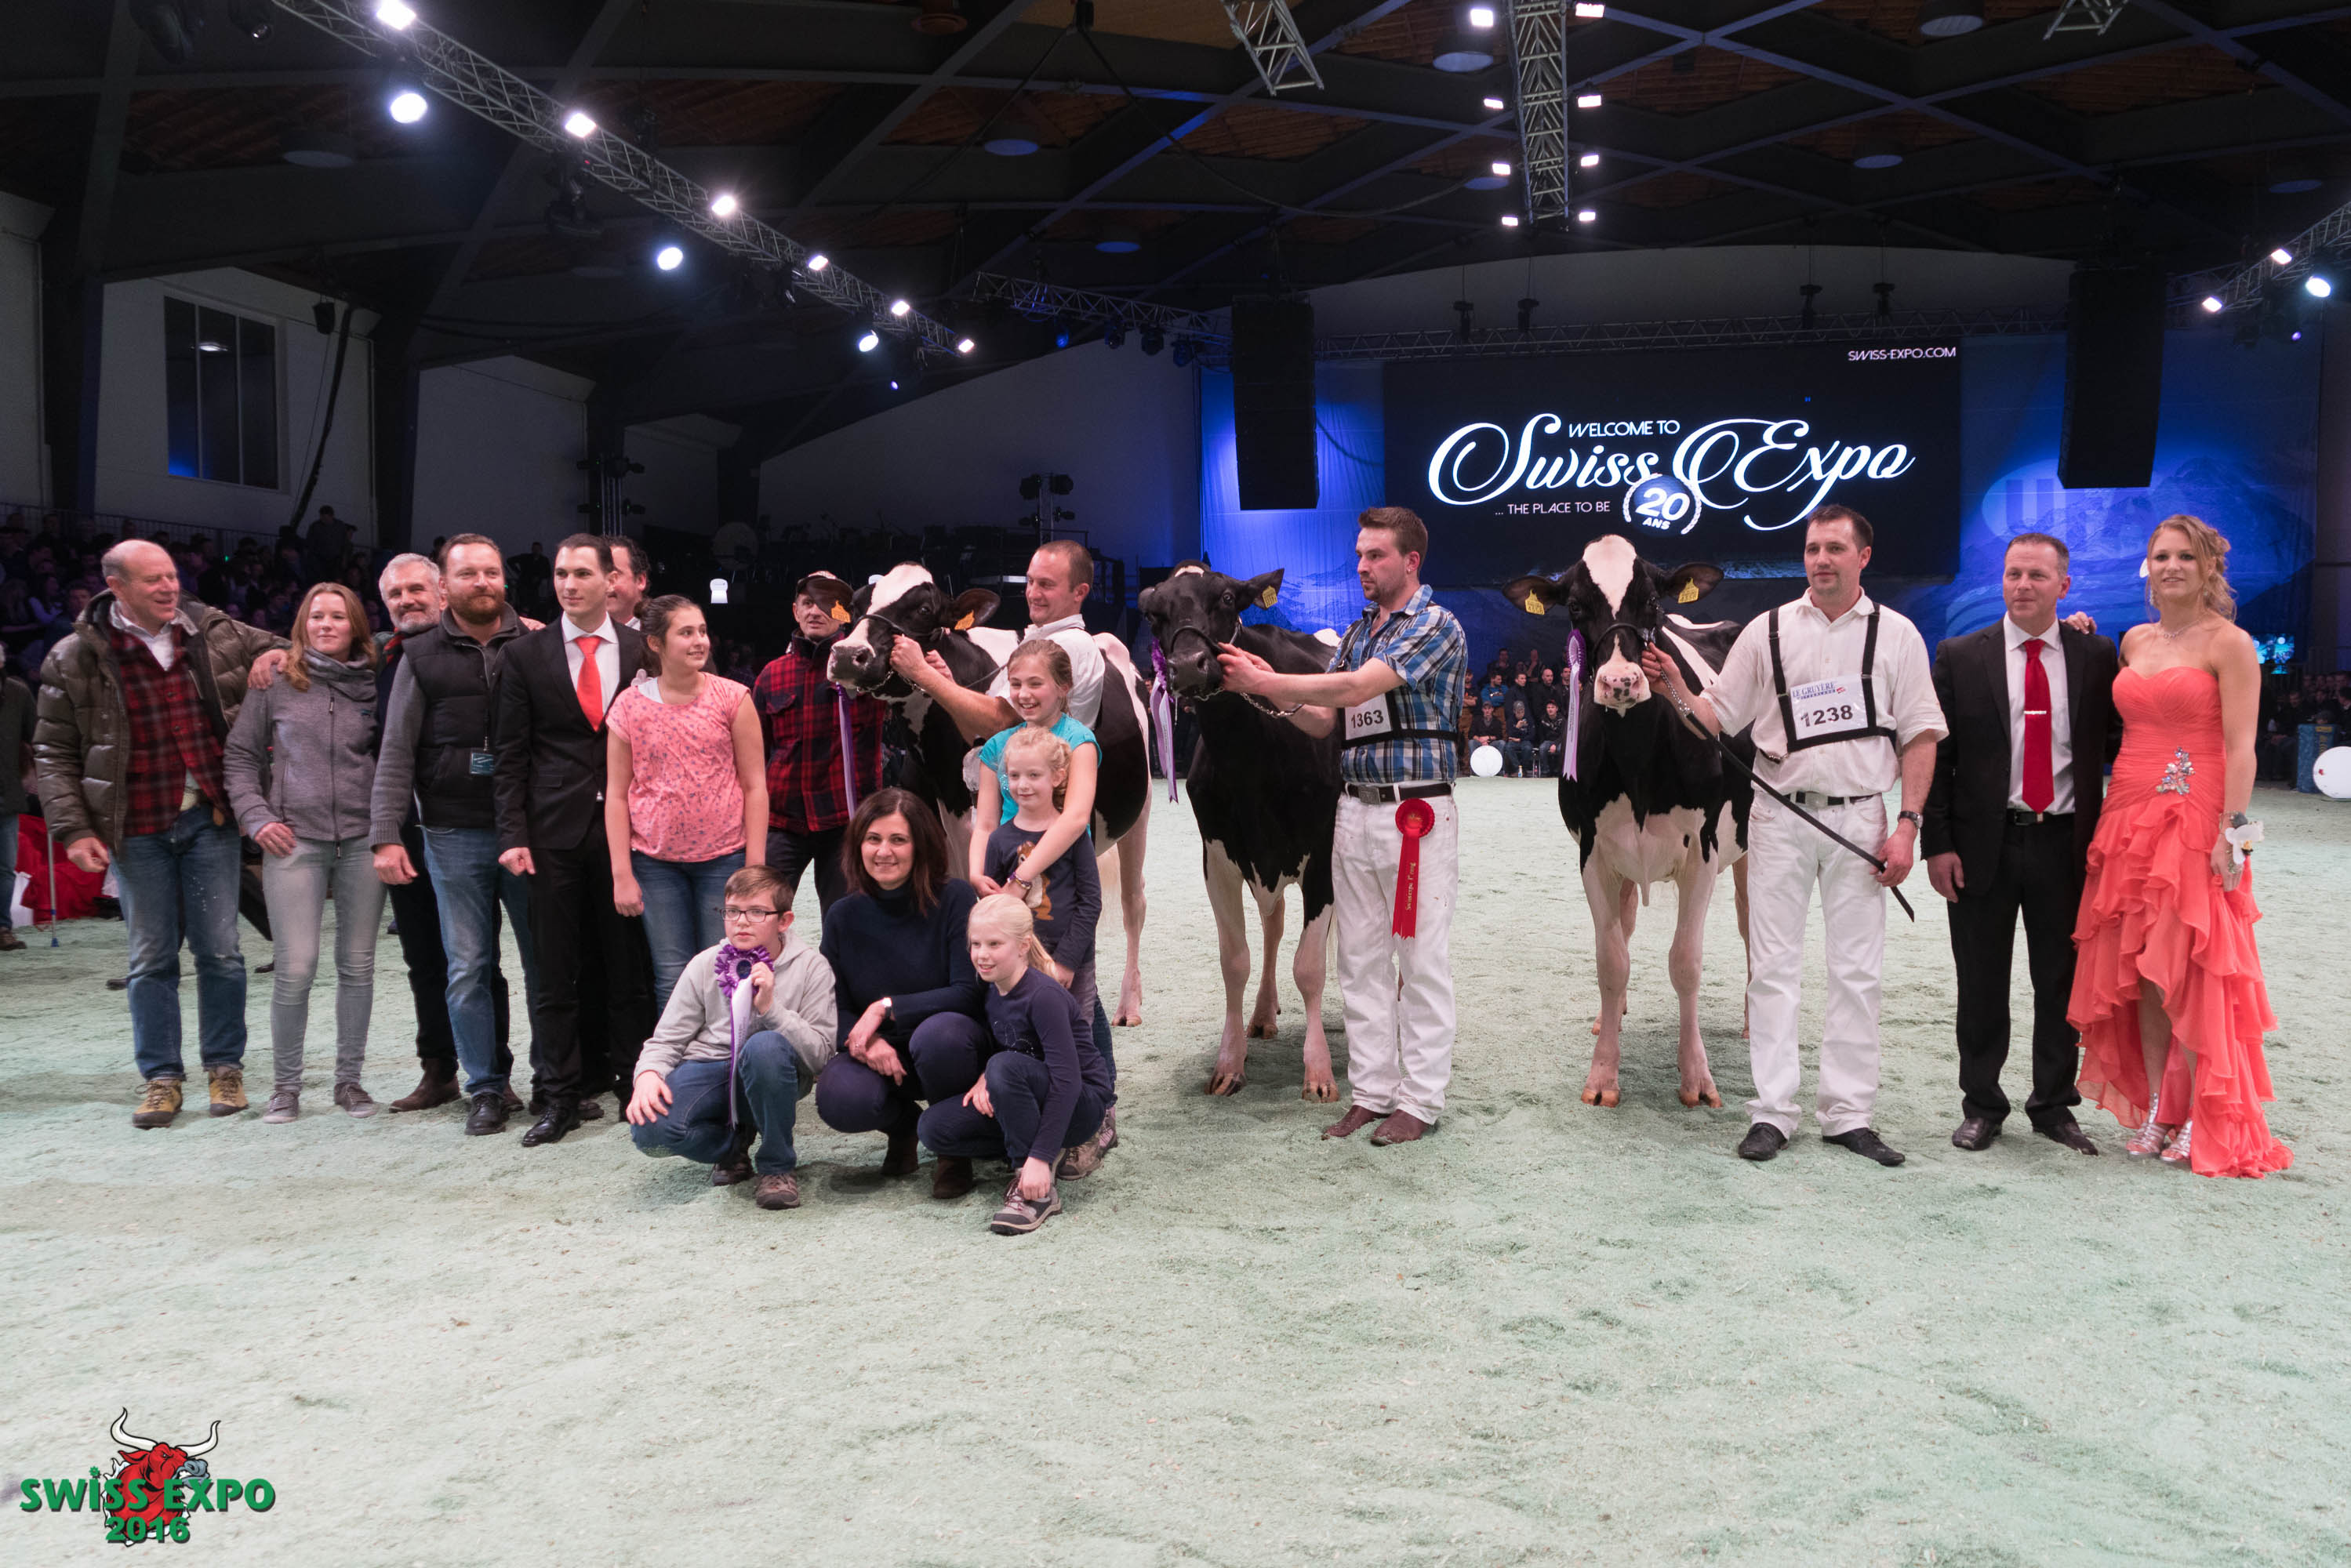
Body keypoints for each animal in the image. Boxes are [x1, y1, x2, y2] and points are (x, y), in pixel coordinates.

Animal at [817, 562, 1155, 1024]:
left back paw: (1128, 1004)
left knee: (1133, 902)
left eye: (924, 608)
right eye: (853, 605)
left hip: (1141, 810)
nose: (849, 654)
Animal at [1138, 564, 1342, 1099]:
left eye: (1228, 597)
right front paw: (1229, 1063)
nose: (1190, 665)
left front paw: (1319, 1072)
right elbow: (1236, 960)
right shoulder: (1219, 856)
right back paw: (1264, 1013)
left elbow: (1309, 966)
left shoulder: (1323, 852)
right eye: (1153, 613)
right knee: (1274, 924)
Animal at [1508, 535, 1753, 1110]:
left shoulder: (1702, 853)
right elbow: (1610, 960)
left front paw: (1696, 1078)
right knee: (1623, 929)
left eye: (1653, 603)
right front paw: (1603, 1074)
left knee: (1752, 925)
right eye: (1576, 607)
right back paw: (1609, 1018)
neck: (1640, 755)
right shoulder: (1594, 854)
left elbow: (1685, 963)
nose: (1621, 681)